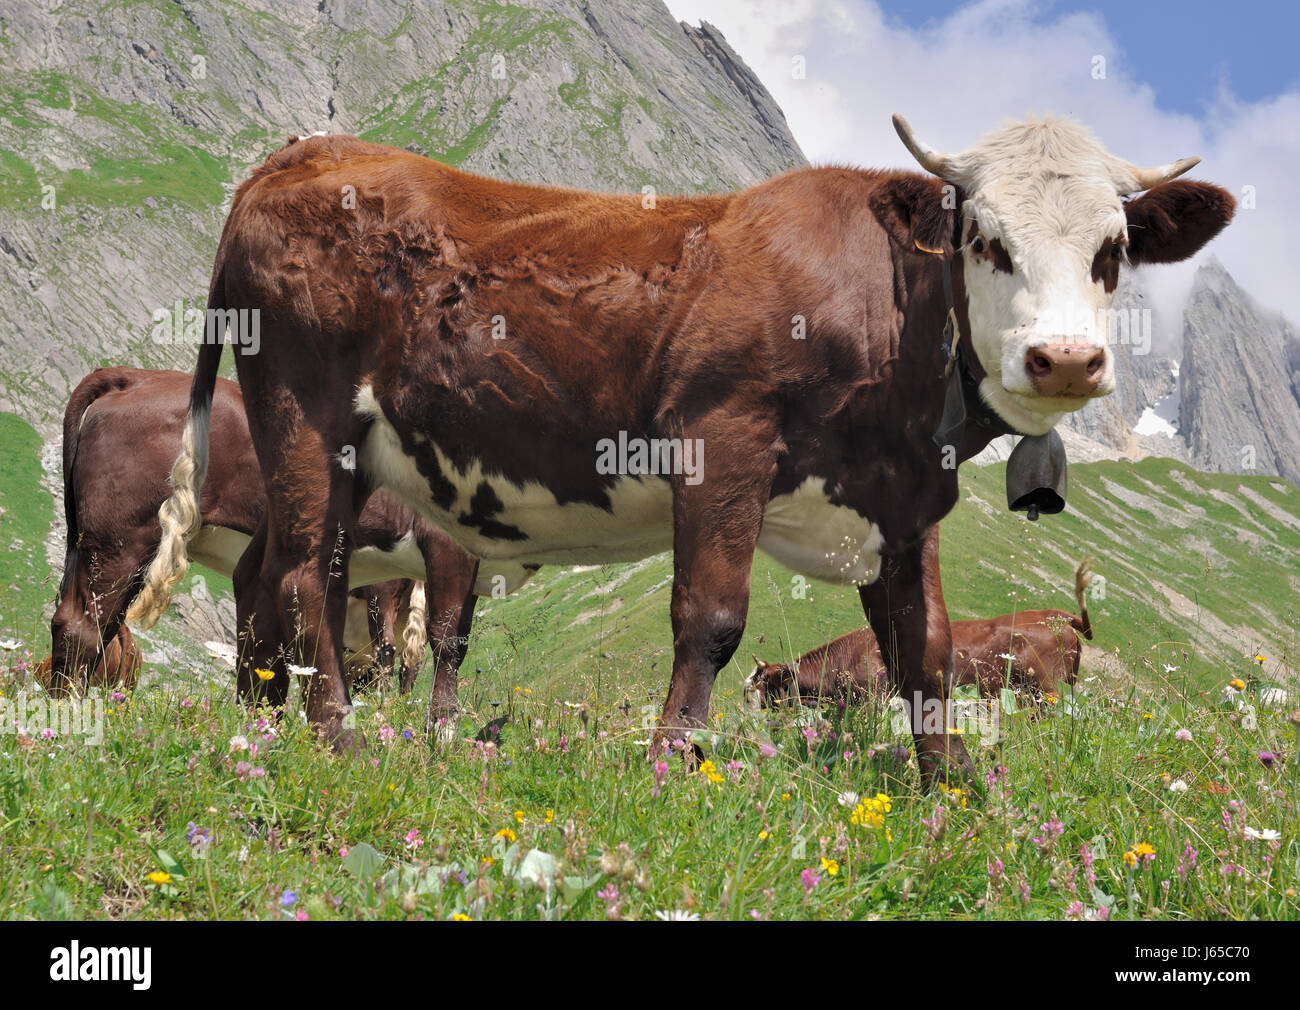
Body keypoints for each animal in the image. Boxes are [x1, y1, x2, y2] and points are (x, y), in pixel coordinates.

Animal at [42, 368, 498, 713]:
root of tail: (135, 376)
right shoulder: (394, 580)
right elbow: (406, 652)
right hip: (120, 540)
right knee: (82, 626)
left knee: (96, 626)